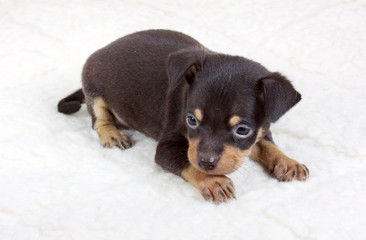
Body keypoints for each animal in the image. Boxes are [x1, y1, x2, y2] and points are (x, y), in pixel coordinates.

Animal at [58, 29, 308, 202]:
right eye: (191, 120)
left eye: (242, 130)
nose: (206, 162)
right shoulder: (166, 149)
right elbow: (187, 163)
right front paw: (213, 181)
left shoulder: (260, 132)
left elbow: (268, 146)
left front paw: (288, 162)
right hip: (94, 88)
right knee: (99, 120)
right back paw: (112, 134)